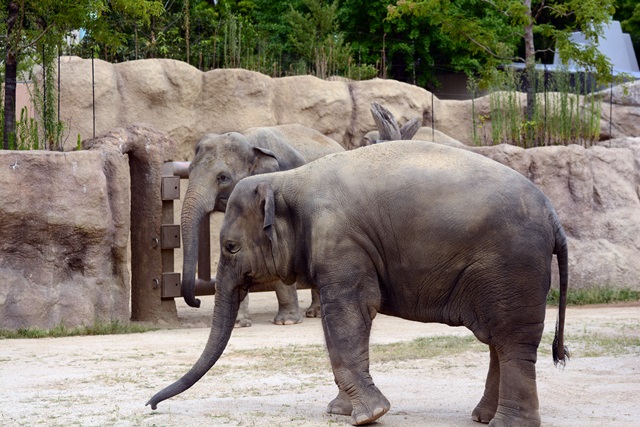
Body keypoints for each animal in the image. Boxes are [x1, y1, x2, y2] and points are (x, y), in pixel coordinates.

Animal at [180, 123, 344, 328]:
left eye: (223, 177)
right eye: (190, 171)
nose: (198, 301)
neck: (249, 141)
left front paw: (286, 322)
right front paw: (239, 323)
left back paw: (315, 313)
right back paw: (315, 312)